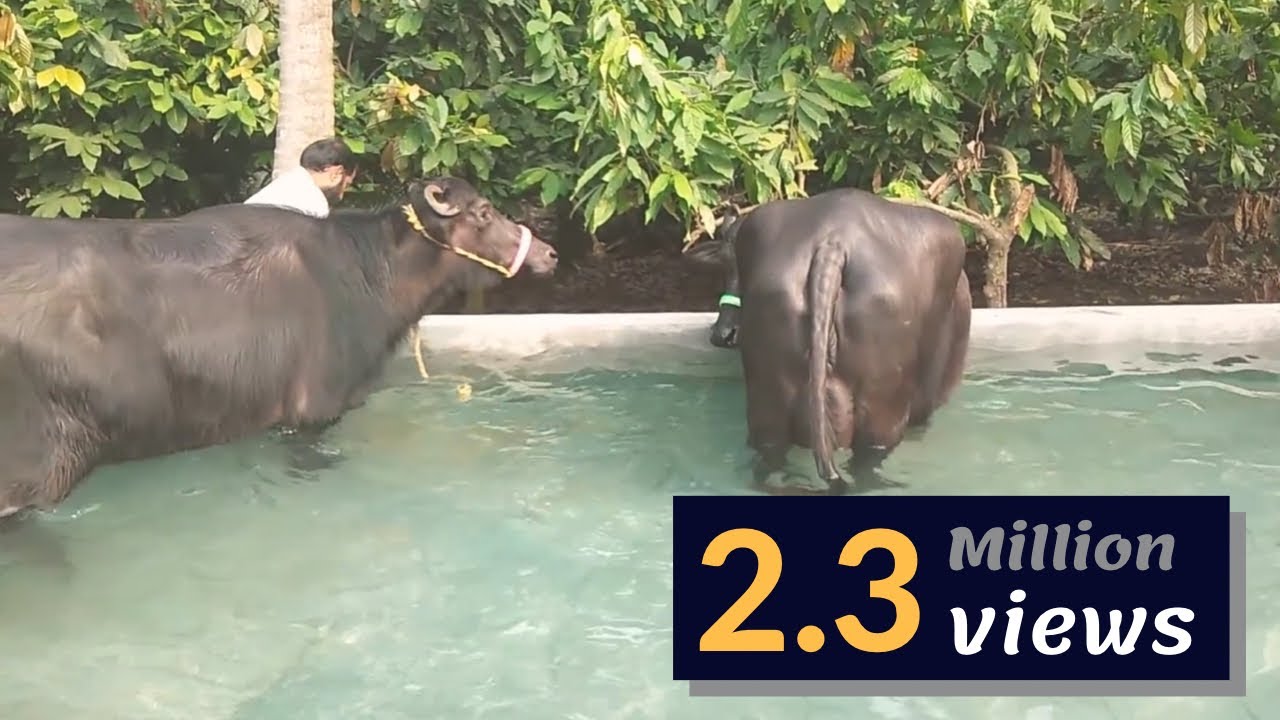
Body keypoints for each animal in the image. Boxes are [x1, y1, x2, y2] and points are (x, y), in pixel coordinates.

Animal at [685, 187, 972, 493]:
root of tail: (833, 242)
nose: (723, 333)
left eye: (735, 262)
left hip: (767, 403)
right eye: (724, 264)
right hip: (881, 412)